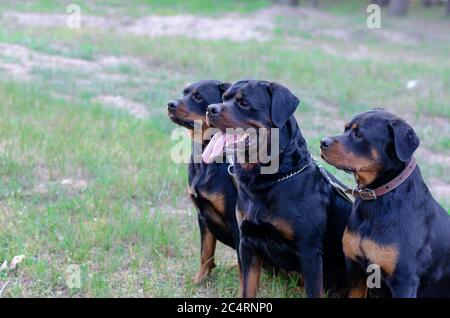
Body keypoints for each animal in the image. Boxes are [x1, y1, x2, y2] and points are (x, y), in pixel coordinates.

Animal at [168, 80, 241, 284]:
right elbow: (205, 253)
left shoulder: (235, 220)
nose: (170, 104)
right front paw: (199, 280)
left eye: (198, 96)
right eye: (184, 93)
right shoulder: (202, 215)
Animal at [203, 80, 352, 298]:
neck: (269, 179)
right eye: (224, 98)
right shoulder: (248, 243)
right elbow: (247, 288)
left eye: (244, 103)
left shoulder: (309, 253)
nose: (210, 109)